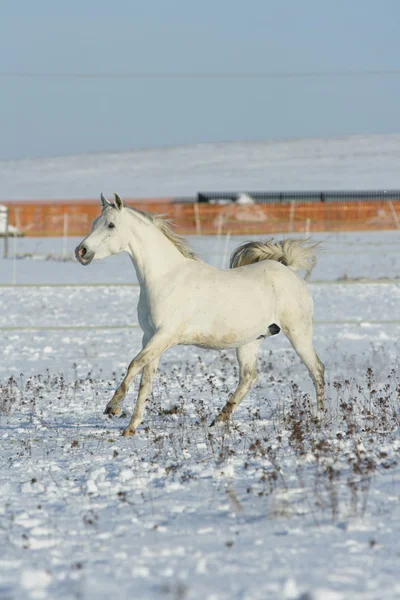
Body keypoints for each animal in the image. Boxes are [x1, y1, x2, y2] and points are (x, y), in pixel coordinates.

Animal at [76, 196, 324, 436]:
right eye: (94, 222)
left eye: (110, 224)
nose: (81, 252)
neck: (165, 278)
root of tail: (290, 270)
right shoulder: (150, 337)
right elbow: (146, 380)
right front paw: (131, 427)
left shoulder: (165, 336)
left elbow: (134, 365)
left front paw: (113, 407)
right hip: (251, 341)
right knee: (249, 378)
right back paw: (219, 419)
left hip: (298, 334)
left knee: (316, 370)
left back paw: (320, 418)